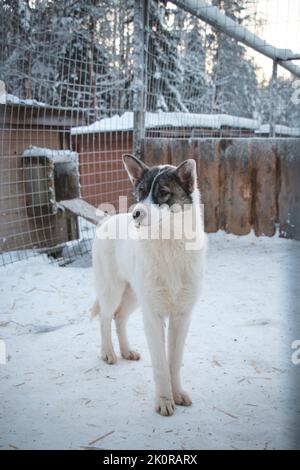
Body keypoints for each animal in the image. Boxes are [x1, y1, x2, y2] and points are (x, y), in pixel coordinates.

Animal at [92, 154, 206, 414]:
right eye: (141, 192)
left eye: (163, 193)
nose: (136, 214)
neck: (169, 244)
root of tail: (108, 220)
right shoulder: (153, 316)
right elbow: (161, 366)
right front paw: (164, 401)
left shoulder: (181, 317)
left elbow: (174, 362)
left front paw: (177, 394)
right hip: (113, 292)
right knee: (105, 318)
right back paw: (109, 353)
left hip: (134, 297)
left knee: (119, 318)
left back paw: (126, 351)